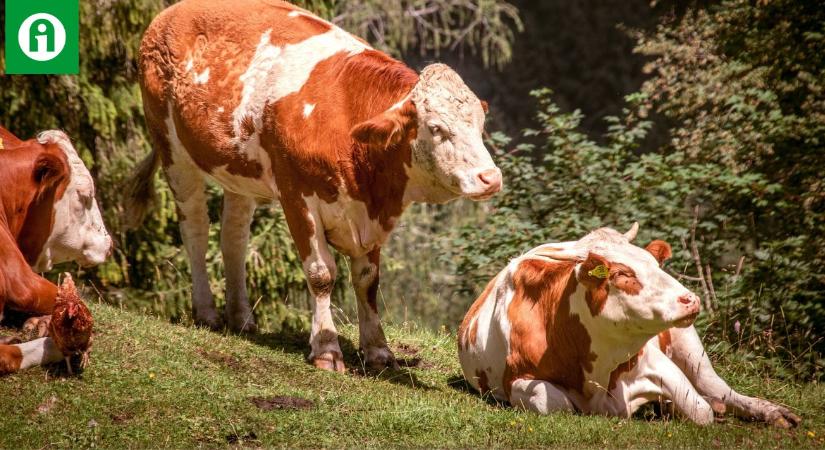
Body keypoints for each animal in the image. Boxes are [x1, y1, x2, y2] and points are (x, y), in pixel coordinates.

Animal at [129, 0, 502, 372]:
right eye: (436, 128)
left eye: (480, 125)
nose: (491, 177)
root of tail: (171, 12)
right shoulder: (297, 195)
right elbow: (322, 273)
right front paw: (326, 349)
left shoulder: (369, 213)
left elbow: (367, 280)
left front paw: (378, 351)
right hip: (172, 149)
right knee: (195, 227)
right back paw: (206, 312)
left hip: (238, 169)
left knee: (233, 237)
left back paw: (241, 318)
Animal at [458, 227, 800, 428]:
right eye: (623, 274)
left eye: (657, 264)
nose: (690, 299)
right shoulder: (517, 380)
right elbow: (555, 404)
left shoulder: (654, 361)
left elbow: (699, 411)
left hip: (689, 346)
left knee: (719, 389)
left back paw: (771, 412)